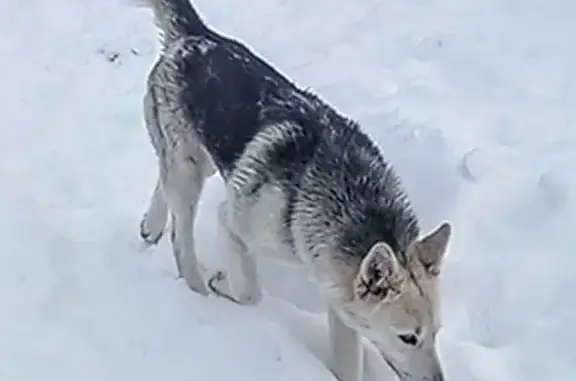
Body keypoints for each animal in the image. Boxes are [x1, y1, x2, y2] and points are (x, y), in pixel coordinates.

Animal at [134, 0, 450, 380]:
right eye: (408, 338)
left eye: (436, 333)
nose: (439, 380)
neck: (348, 197)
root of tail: (197, 35)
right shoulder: (233, 223)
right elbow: (249, 292)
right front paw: (223, 284)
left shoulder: (338, 293)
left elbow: (346, 365)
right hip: (190, 172)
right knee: (181, 238)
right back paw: (195, 289)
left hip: (203, 160)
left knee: (163, 179)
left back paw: (150, 225)